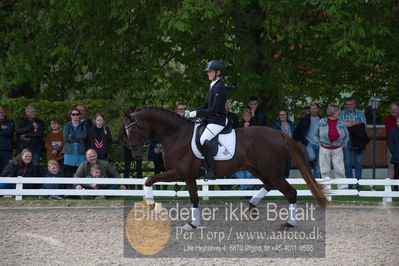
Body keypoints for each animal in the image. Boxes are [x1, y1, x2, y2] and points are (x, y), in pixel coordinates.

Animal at [126, 106, 328, 231]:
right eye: (126, 132)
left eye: (135, 130)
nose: (136, 155)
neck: (175, 134)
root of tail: (278, 133)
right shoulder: (188, 177)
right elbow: (194, 199)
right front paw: (193, 224)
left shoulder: (180, 173)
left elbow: (148, 179)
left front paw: (151, 203)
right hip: (257, 169)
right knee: (269, 185)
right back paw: (252, 204)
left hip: (271, 171)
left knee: (290, 192)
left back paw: (289, 224)